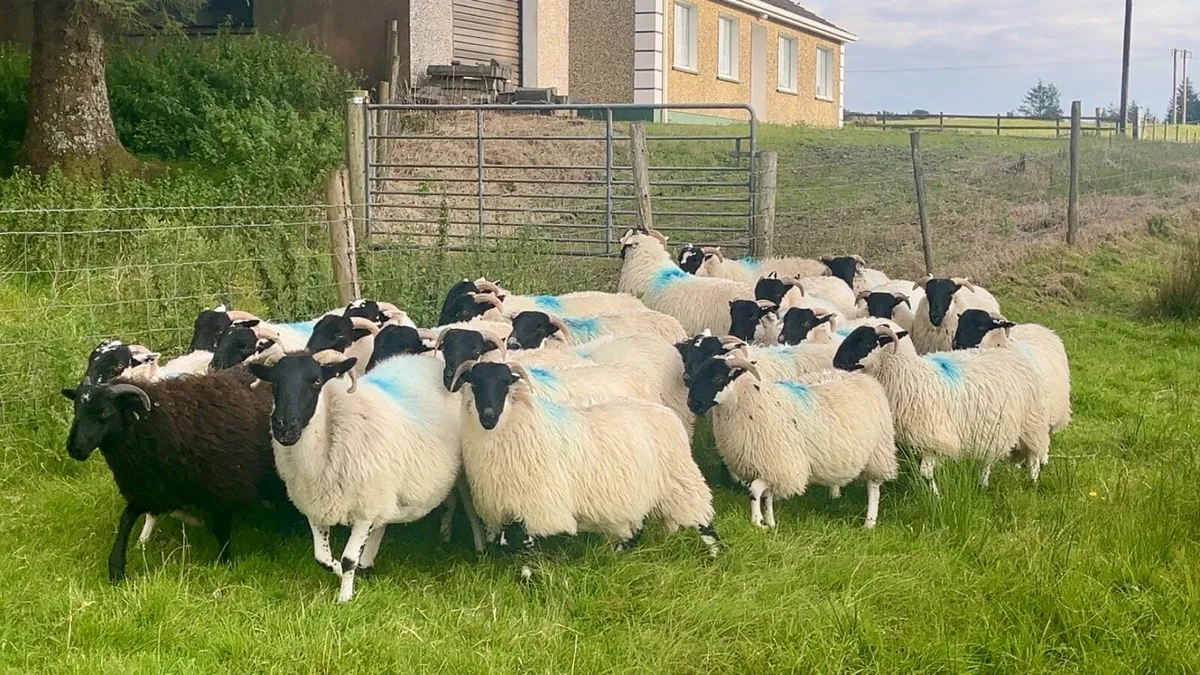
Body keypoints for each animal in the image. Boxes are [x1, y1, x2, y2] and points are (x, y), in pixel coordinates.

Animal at [60, 371, 289, 582]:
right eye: (76, 410)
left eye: (104, 413)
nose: (74, 449)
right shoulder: (150, 489)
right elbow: (126, 520)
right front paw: (116, 568)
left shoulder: (222, 491)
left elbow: (221, 531)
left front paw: (226, 563)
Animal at [248, 350, 473, 603]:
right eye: (274, 382)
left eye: (317, 381)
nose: (284, 427)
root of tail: (427, 360)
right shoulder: (315, 506)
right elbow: (321, 558)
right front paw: (337, 570)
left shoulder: (365, 509)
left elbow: (349, 560)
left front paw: (344, 598)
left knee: (466, 508)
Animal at [452, 359, 720, 575]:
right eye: (474, 383)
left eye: (505, 384)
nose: (488, 416)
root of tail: (665, 412)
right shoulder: (507, 504)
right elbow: (507, 544)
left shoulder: (537, 504)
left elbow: (526, 548)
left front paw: (527, 578)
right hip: (637, 492)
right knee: (636, 529)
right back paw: (618, 555)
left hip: (681, 483)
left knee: (704, 522)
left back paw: (716, 556)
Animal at [687, 356, 898, 528]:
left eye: (717, 378)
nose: (692, 404)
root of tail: (863, 378)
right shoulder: (771, 466)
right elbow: (767, 495)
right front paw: (770, 522)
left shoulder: (782, 463)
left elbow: (754, 491)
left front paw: (757, 522)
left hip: (878, 451)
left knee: (874, 487)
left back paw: (869, 523)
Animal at [833, 323, 1050, 492]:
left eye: (866, 343)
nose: (836, 362)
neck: (906, 376)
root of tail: (1007, 352)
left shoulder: (934, 439)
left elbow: (926, 473)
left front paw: (936, 496)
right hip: (994, 428)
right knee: (988, 460)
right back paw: (983, 484)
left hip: (1031, 422)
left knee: (1034, 454)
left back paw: (1032, 481)